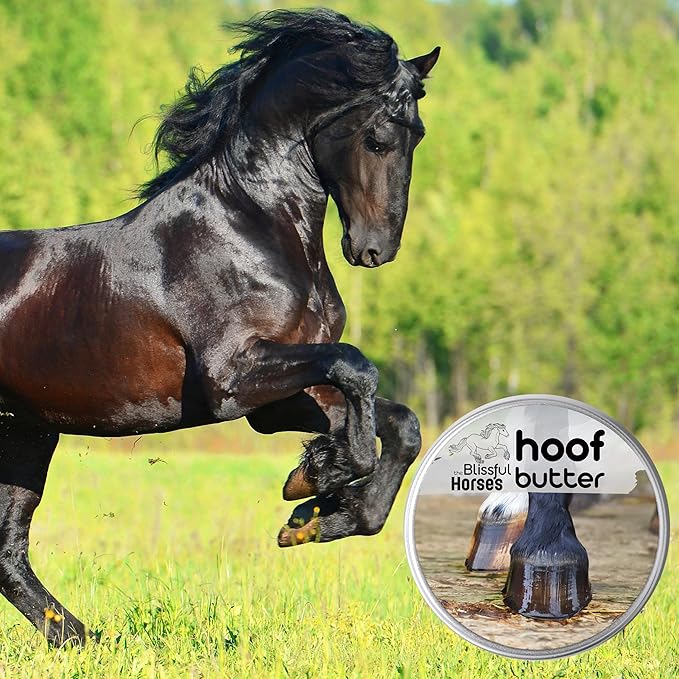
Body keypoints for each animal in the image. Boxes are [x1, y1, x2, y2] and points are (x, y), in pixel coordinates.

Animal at [0, 9, 440, 646]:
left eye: (418, 133)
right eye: (378, 137)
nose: (375, 248)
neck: (251, 229)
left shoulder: (276, 400)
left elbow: (399, 422)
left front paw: (318, 513)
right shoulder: (234, 379)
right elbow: (356, 368)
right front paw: (318, 477)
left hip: (26, 432)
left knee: (9, 552)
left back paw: (85, 641)